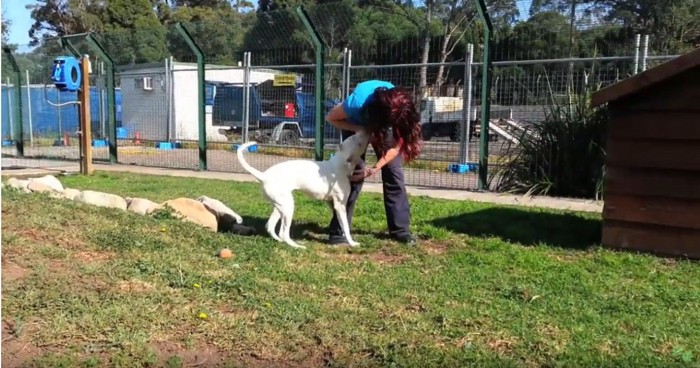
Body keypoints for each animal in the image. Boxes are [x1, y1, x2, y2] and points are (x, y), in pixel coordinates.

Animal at [237, 131, 372, 249]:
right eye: (354, 138)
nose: (366, 130)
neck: (340, 164)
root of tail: (264, 176)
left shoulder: (331, 203)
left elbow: (341, 222)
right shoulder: (340, 205)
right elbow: (345, 225)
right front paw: (352, 243)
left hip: (280, 205)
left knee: (270, 226)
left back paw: (281, 241)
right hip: (288, 207)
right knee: (283, 232)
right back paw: (297, 246)